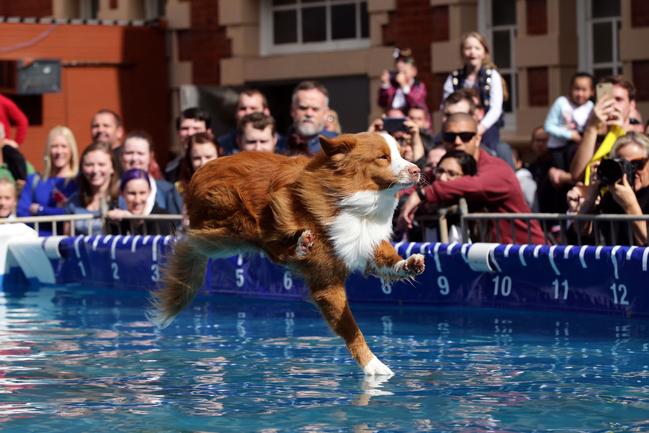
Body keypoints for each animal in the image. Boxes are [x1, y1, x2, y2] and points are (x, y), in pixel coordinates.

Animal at [152, 132, 426, 374]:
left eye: (401, 153)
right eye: (383, 157)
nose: (417, 170)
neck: (352, 197)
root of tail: (197, 173)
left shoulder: (365, 240)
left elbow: (384, 259)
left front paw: (408, 264)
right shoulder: (327, 282)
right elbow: (351, 328)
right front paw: (374, 367)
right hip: (232, 220)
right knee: (200, 242)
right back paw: (299, 245)